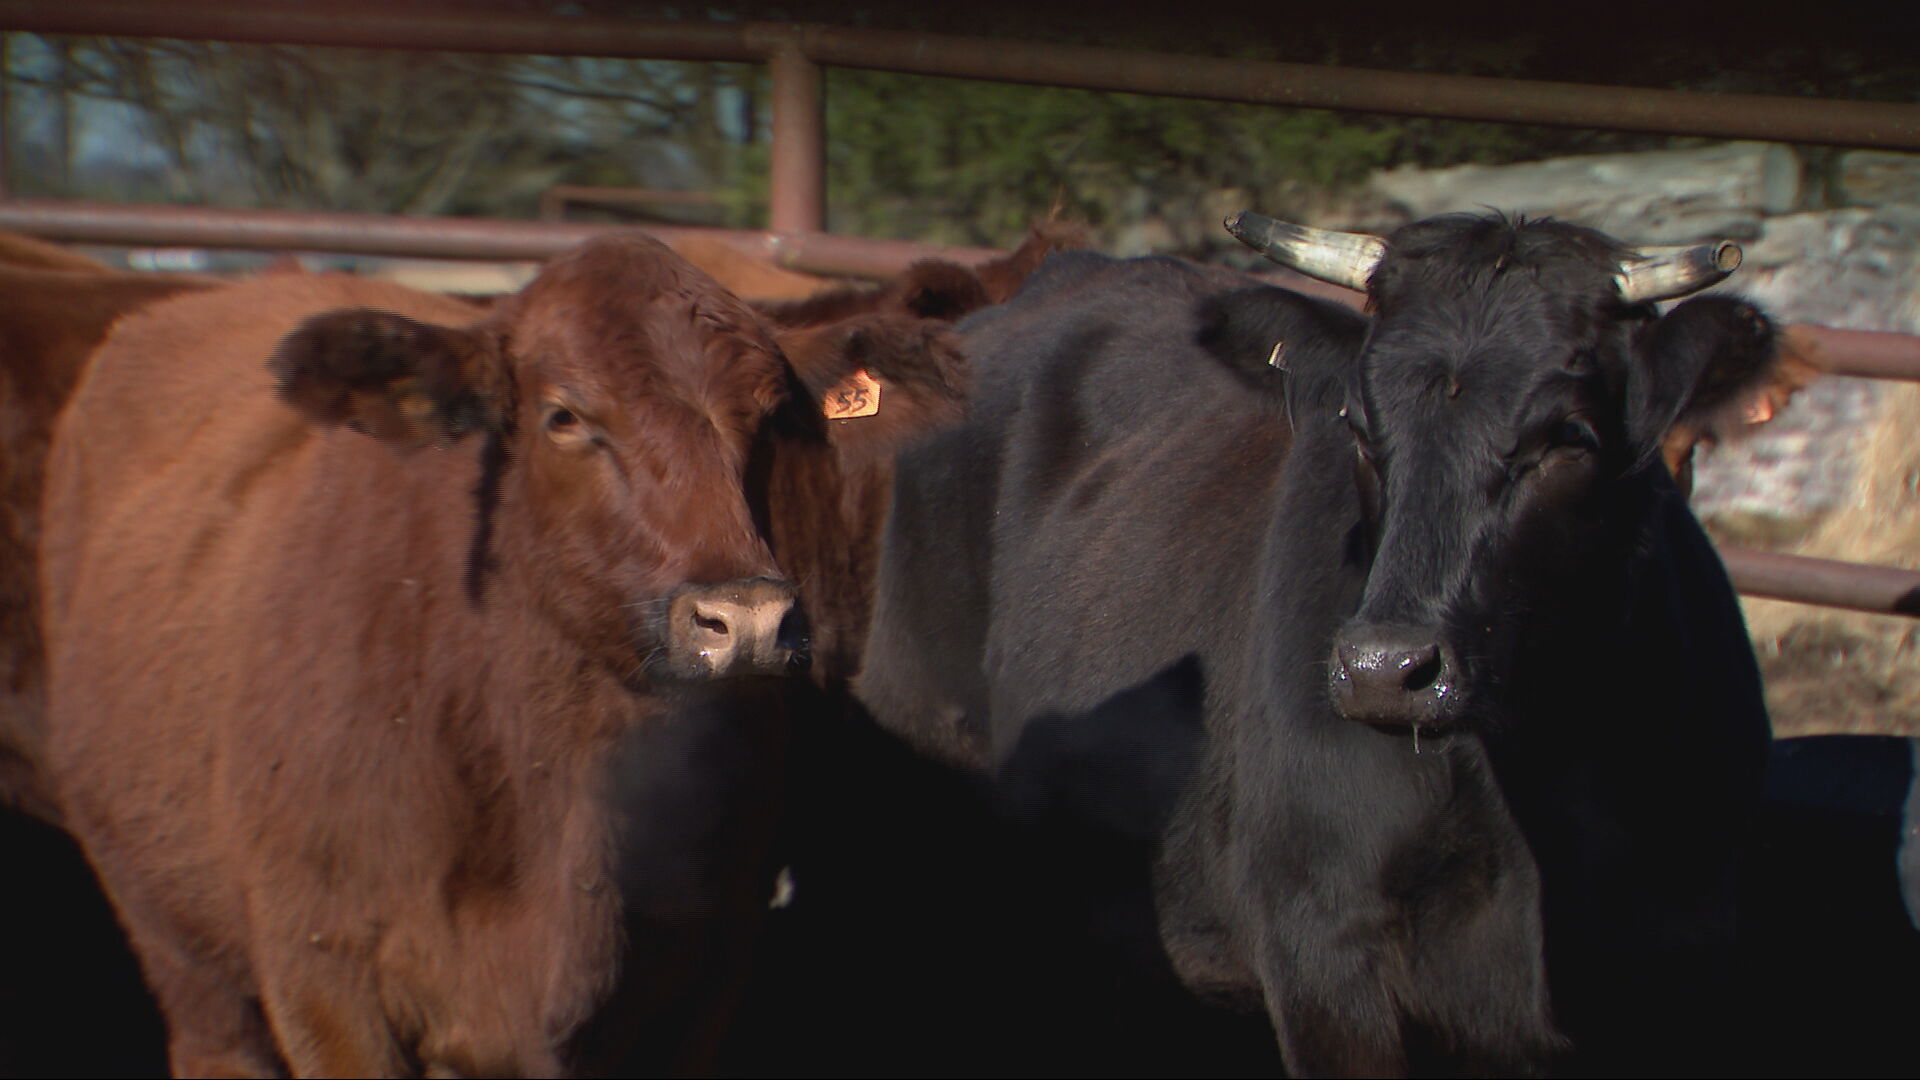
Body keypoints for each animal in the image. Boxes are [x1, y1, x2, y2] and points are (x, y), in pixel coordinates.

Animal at [35, 230, 967, 1077]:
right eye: (564, 417)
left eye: (770, 417)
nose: (746, 619)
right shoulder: (324, 978)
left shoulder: (705, 972)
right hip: (178, 943)